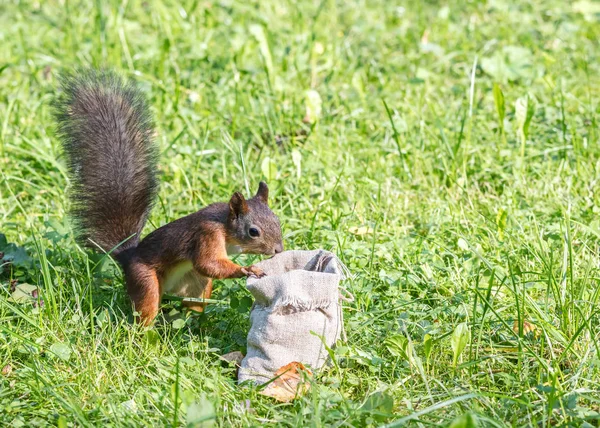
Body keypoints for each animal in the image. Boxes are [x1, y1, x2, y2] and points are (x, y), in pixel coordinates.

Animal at [53, 69, 284, 324]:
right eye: (253, 232)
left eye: (278, 222)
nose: (279, 250)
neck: (225, 228)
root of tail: (128, 257)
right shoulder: (206, 235)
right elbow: (208, 263)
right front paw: (247, 270)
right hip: (145, 281)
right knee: (147, 306)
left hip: (195, 284)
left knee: (193, 301)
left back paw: (194, 322)